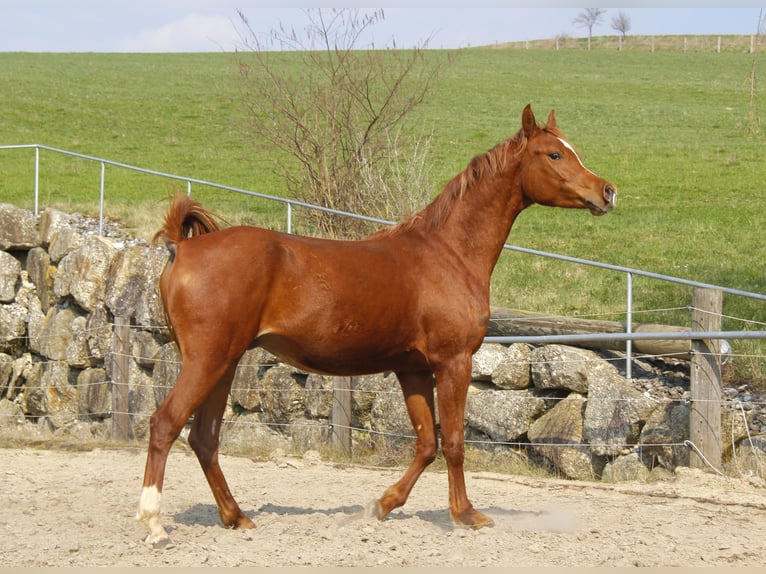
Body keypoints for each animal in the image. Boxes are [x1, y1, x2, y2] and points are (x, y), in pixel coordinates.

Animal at [137, 104, 616, 545]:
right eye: (554, 153)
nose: (608, 191)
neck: (447, 254)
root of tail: (182, 247)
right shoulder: (453, 362)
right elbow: (454, 441)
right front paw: (466, 515)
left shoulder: (413, 369)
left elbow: (426, 444)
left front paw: (382, 505)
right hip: (208, 361)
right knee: (165, 424)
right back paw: (154, 525)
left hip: (225, 364)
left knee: (204, 438)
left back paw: (236, 517)